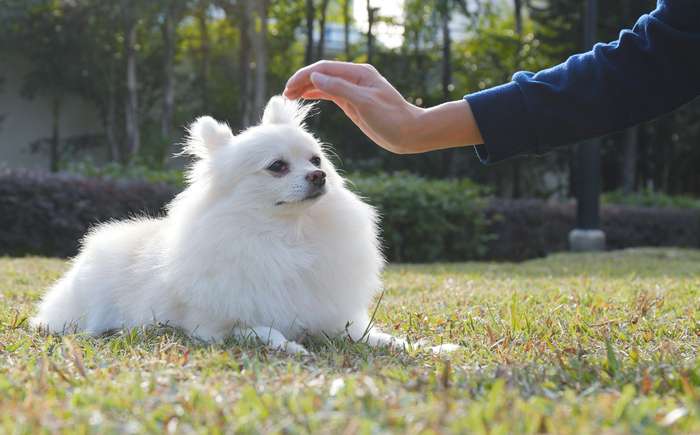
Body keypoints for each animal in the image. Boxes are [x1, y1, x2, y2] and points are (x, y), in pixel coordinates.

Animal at [31, 97, 460, 356]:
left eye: (316, 160)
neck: (288, 238)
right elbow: (261, 330)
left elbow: (381, 338)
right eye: (277, 166)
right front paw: (292, 347)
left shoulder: (337, 320)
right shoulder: (213, 326)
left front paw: (427, 349)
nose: (318, 176)